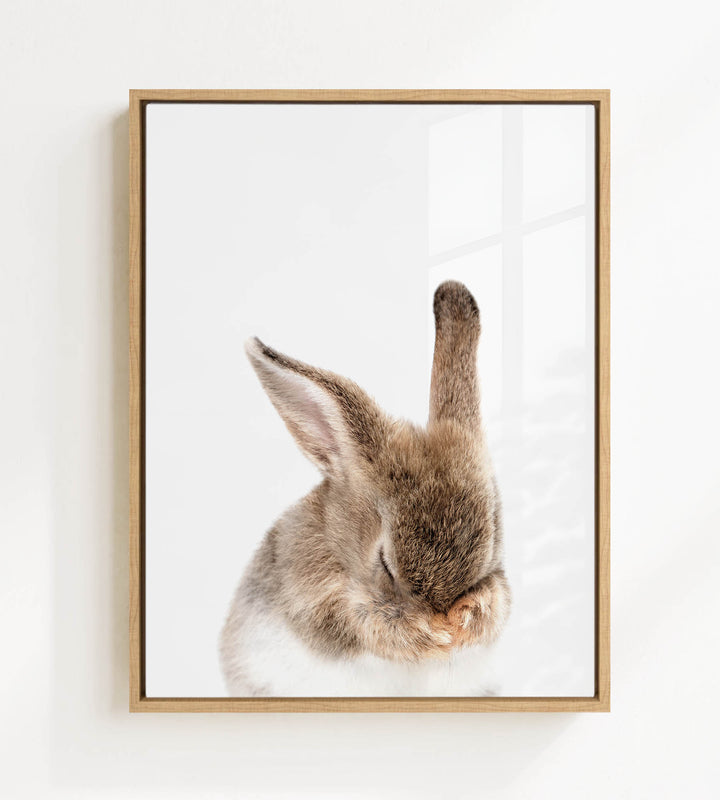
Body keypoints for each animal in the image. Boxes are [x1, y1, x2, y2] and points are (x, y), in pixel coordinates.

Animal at [219, 281, 511, 696]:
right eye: (384, 562)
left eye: (493, 540)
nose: (443, 615)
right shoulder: (321, 605)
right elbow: (366, 624)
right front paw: (431, 635)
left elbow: (496, 603)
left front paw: (465, 621)